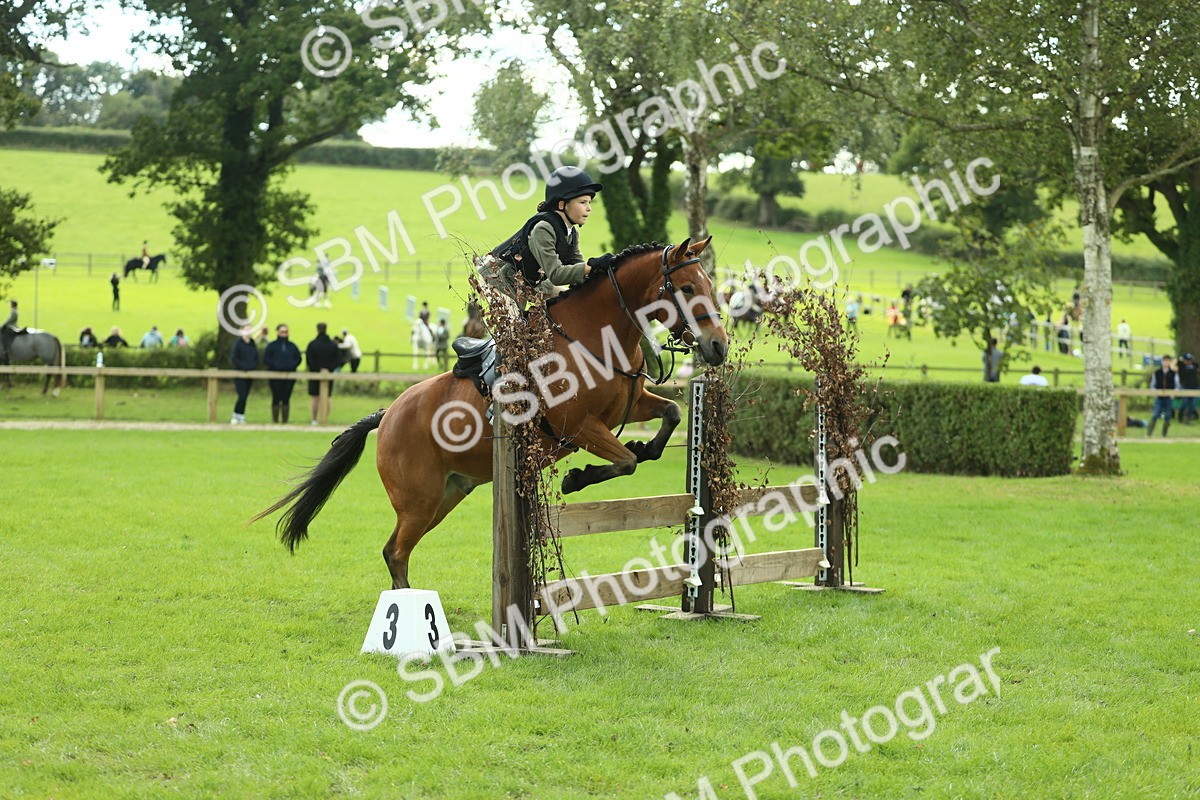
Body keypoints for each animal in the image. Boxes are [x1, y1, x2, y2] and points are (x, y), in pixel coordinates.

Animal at [256, 237, 728, 590]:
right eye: (687, 288)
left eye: (709, 283)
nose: (718, 346)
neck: (597, 335)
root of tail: (387, 415)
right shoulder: (577, 426)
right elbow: (626, 461)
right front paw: (578, 478)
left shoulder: (628, 404)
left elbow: (670, 415)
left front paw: (644, 447)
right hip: (419, 501)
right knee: (396, 552)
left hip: (446, 495)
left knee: (396, 550)